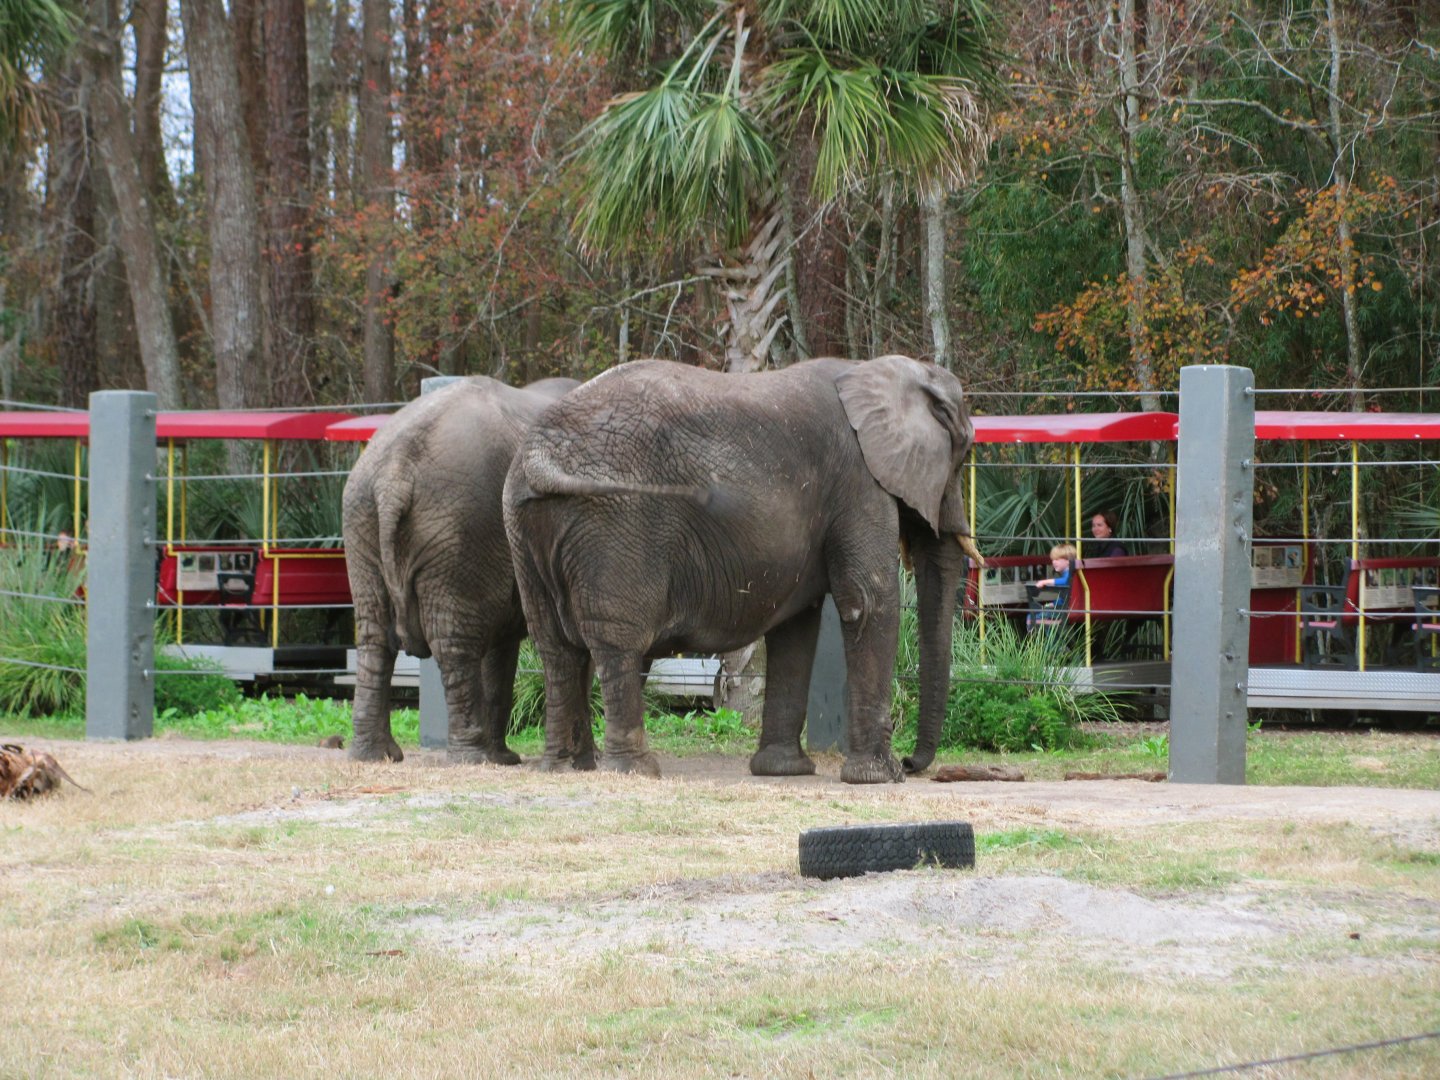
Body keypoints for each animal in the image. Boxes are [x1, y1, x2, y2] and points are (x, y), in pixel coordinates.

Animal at [343, 374, 596, 766]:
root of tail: (394, 472)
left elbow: (504, 645)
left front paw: (507, 758)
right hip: (458, 522)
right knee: (453, 641)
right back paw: (471, 757)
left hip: (365, 519)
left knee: (374, 634)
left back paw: (376, 755)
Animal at [502, 354, 979, 783]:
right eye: (963, 453)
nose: (913, 765)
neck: (877, 369)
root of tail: (538, 455)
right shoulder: (858, 481)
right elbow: (868, 602)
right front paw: (878, 777)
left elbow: (796, 626)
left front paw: (783, 771)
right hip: (616, 522)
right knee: (616, 641)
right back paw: (635, 771)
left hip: (524, 525)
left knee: (554, 645)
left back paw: (566, 768)